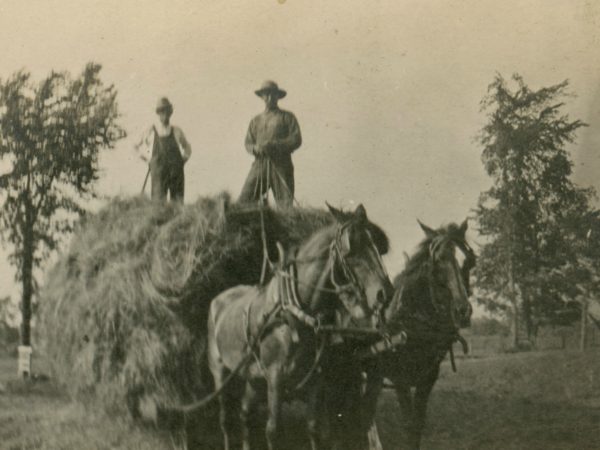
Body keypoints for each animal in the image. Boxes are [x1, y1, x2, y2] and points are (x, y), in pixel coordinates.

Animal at [206, 205, 394, 450]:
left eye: (377, 247)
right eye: (351, 250)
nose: (385, 293)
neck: (293, 313)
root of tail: (218, 299)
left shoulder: (315, 380)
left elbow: (313, 428)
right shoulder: (275, 378)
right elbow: (273, 431)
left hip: (253, 378)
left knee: (245, 415)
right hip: (221, 374)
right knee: (226, 421)